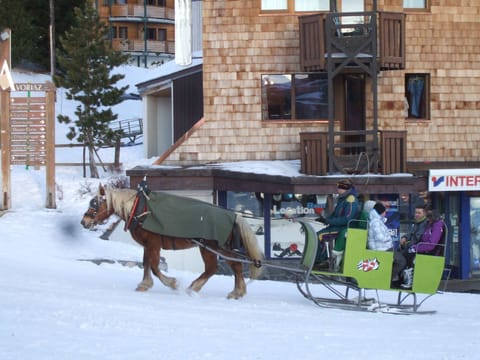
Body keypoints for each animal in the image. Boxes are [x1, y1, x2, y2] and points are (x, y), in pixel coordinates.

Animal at [80, 184, 264, 300]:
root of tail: (234, 216)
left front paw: (172, 283)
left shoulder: (153, 244)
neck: (140, 209)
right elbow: (146, 264)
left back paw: (199, 289)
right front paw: (144, 284)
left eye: (95, 203)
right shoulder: (148, 245)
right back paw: (234, 292)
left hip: (213, 247)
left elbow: (154, 267)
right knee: (227, 267)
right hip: (213, 249)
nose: (84, 222)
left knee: (223, 267)